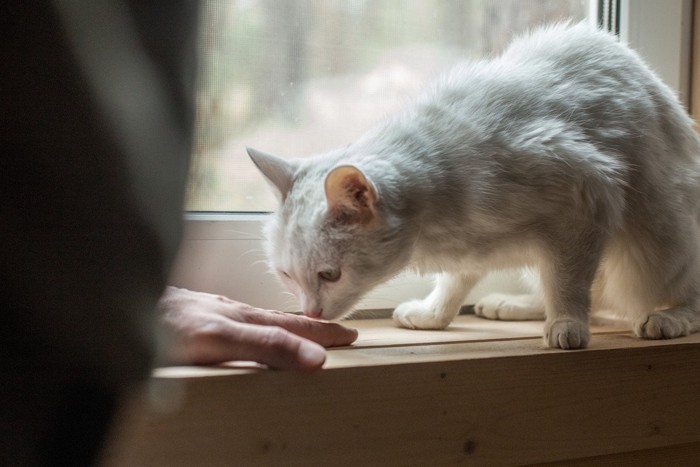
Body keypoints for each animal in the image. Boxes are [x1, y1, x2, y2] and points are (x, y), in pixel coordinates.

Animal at [246, 23, 700, 350]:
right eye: (287, 275)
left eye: (330, 274)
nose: (311, 314)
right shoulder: (476, 244)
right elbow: (457, 279)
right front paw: (434, 313)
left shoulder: (586, 200)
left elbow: (569, 281)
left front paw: (568, 323)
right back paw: (510, 304)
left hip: (657, 240)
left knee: (676, 292)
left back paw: (666, 318)